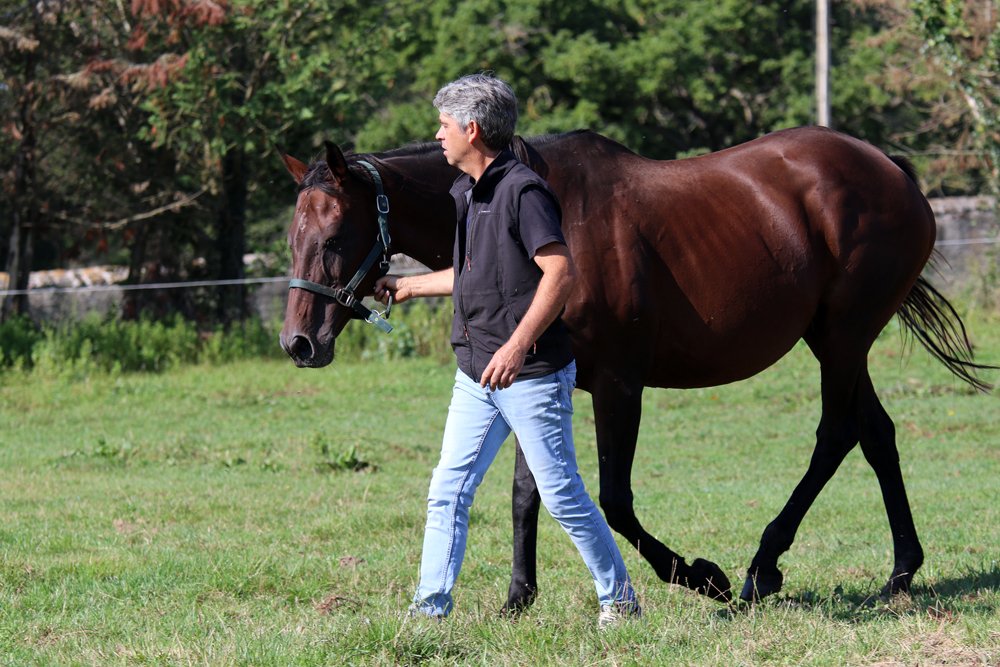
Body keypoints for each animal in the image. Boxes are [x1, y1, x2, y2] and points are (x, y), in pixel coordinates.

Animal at [279, 126, 990, 611]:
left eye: (335, 236)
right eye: (293, 237)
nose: (299, 343)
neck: (555, 217)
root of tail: (889, 170)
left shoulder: (619, 386)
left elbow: (613, 500)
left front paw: (704, 577)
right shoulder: (535, 374)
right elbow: (526, 493)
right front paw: (518, 598)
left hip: (843, 337)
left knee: (835, 435)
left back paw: (762, 567)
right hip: (833, 339)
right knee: (875, 435)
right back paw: (901, 571)